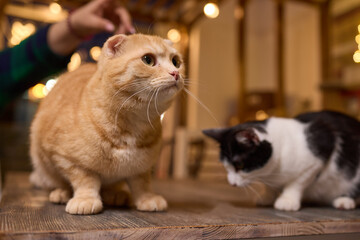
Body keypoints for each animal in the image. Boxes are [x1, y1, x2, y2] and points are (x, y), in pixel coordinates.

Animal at [29, 33, 184, 214]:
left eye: (176, 62)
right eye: (148, 60)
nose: (175, 73)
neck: (135, 123)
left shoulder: (141, 167)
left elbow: (142, 183)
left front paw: (147, 198)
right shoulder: (66, 159)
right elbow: (85, 181)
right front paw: (86, 199)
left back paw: (116, 195)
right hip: (42, 164)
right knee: (56, 183)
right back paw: (61, 193)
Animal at [204, 109, 358, 211]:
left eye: (239, 165)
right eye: (225, 166)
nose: (232, 183)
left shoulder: (321, 150)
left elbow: (298, 182)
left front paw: (287, 200)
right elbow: (270, 186)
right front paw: (267, 196)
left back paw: (345, 200)